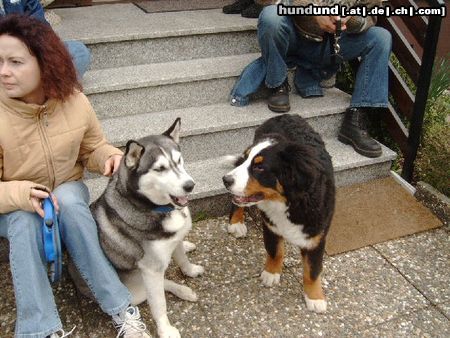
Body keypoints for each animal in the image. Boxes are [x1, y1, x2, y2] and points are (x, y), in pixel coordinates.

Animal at [92, 119, 204, 338]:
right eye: (160, 169)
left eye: (179, 160)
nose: (190, 185)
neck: (156, 208)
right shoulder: (151, 269)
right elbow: (158, 303)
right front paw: (165, 329)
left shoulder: (173, 240)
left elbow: (181, 258)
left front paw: (189, 270)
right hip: (135, 289)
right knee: (153, 291)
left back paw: (184, 288)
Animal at [221, 115, 334, 312]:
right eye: (246, 159)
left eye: (259, 167)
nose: (225, 180)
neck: (288, 203)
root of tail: (285, 115)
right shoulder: (271, 225)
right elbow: (275, 252)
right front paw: (271, 273)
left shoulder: (316, 237)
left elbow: (312, 271)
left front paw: (315, 298)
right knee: (236, 202)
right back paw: (236, 223)